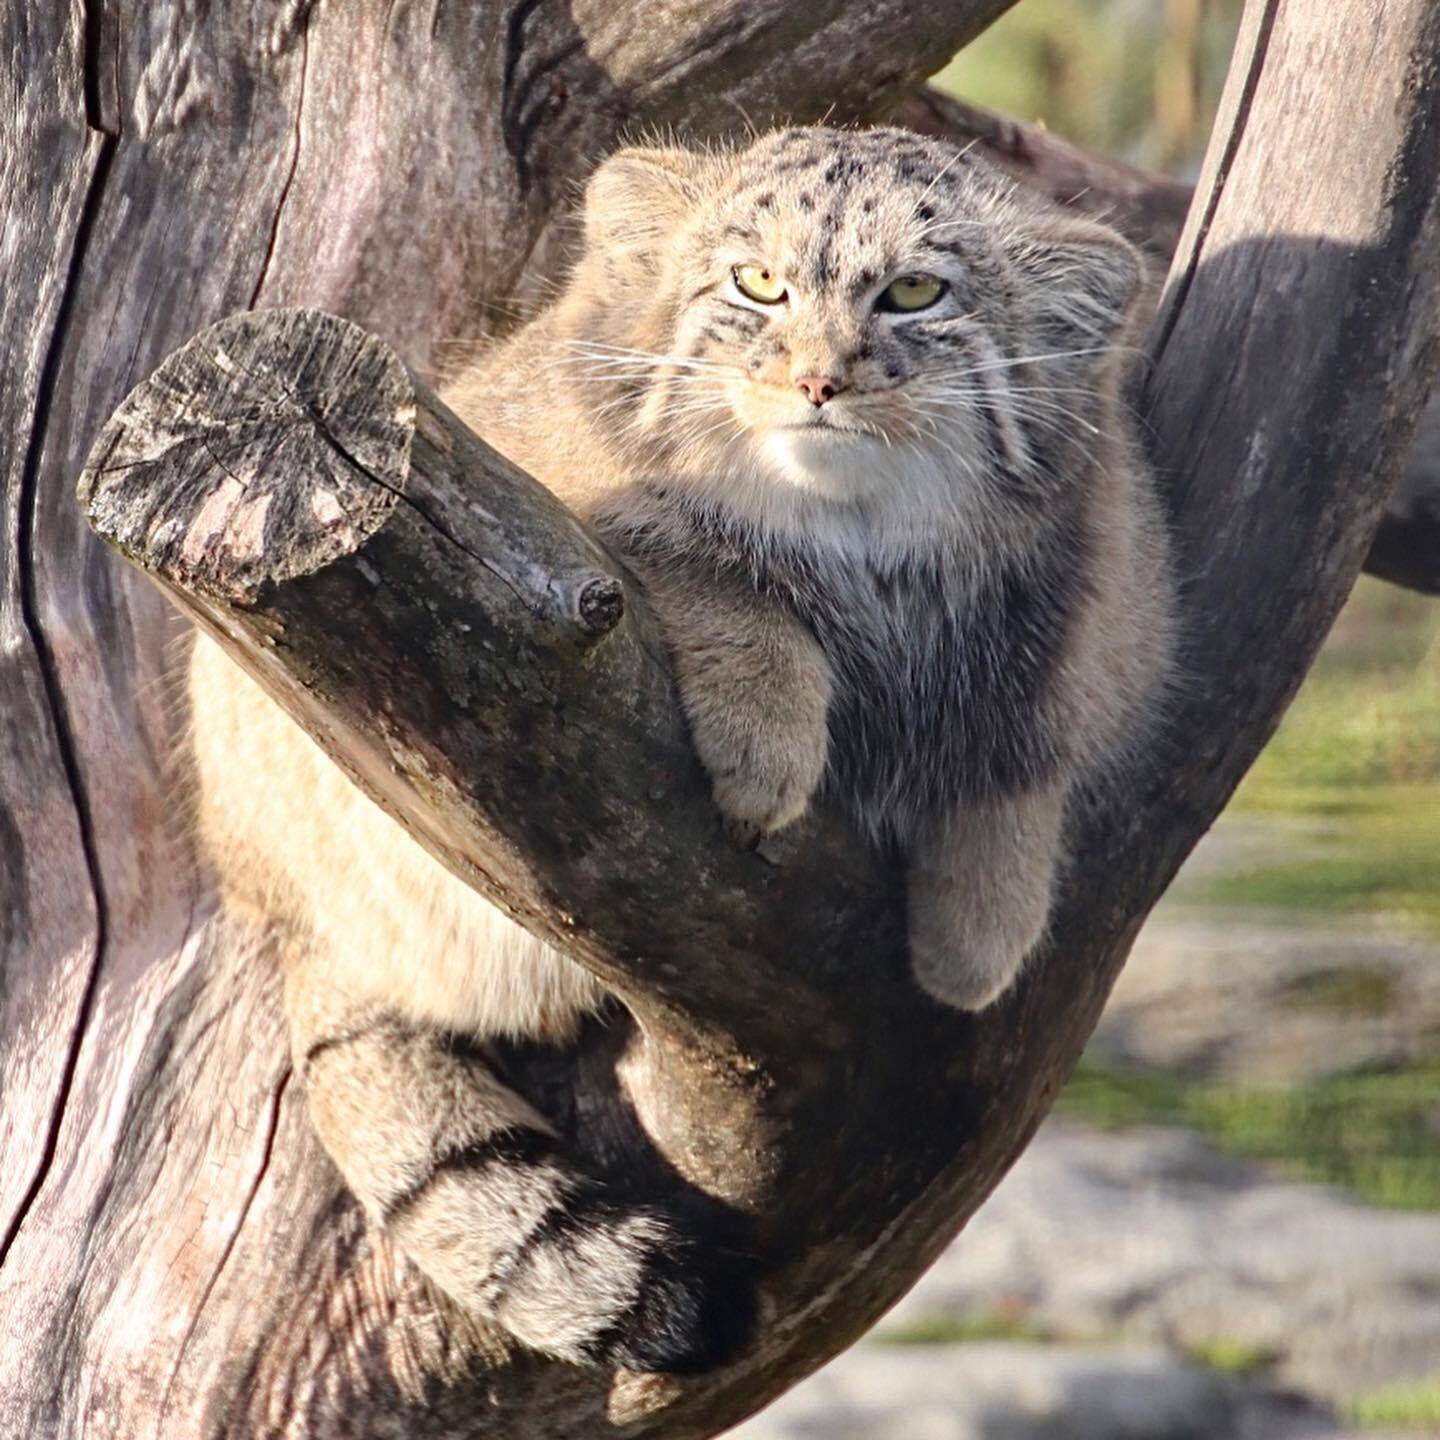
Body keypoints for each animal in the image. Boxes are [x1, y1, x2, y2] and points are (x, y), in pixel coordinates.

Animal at [188, 132, 1169, 1370]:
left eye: (913, 293)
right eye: (758, 286)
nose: (818, 382)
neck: (858, 547)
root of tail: (276, 900)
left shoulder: (1095, 600)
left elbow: (1017, 754)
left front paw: (982, 930)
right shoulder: (549, 516)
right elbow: (709, 570)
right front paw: (767, 740)